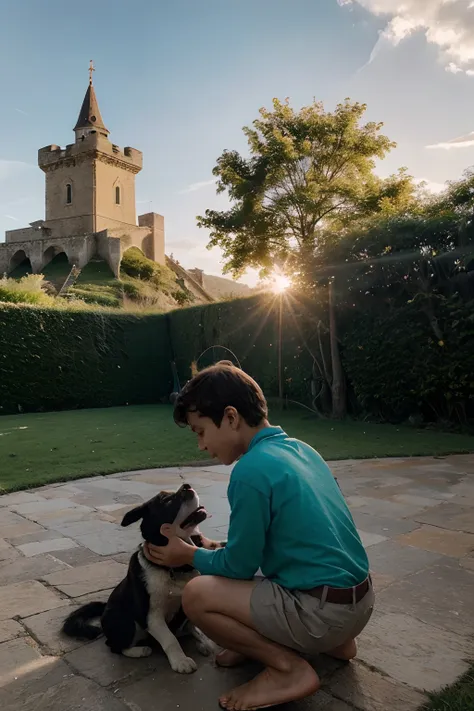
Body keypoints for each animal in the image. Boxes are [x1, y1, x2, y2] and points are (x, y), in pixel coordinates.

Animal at [62, 484, 223, 672]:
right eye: (166, 501)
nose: (187, 486)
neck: (173, 569)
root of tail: (105, 607)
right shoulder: (151, 616)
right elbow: (170, 639)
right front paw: (180, 660)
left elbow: (192, 626)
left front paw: (204, 641)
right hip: (125, 621)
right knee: (114, 646)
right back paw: (139, 650)